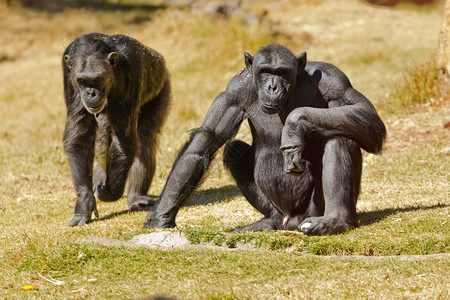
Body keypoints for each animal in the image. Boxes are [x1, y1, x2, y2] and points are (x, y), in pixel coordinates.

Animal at [61, 32, 171, 226]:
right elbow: (80, 136)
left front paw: (110, 193)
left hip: (162, 87)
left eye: (97, 79)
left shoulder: (132, 73)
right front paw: (84, 202)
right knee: (104, 141)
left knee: (145, 138)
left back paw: (136, 196)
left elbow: (124, 139)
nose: (90, 93)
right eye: (82, 81)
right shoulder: (69, 77)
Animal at [146, 43, 384, 236]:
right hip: (277, 210)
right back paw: (267, 222)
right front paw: (161, 218)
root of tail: (289, 221)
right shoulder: (234, 90)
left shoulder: (334, 80)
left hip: (311, 210)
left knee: (339, 137)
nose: (272, 86)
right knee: (233, 149)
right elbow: (204, 142)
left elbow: (368, 116)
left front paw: (294, 123)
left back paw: (335, 220)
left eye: (282, 72)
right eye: (265, 71)